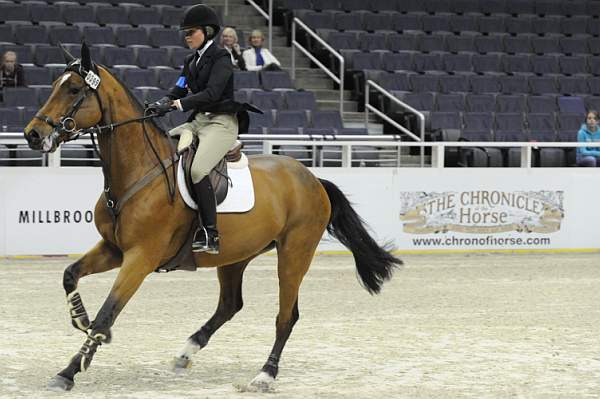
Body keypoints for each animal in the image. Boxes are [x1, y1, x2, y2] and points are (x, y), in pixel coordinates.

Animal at [22, 42, 404, 392]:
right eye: (56, 85)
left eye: (74, 89)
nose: (33, 134)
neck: (137, 172)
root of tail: (311, 178)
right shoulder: (114, 249)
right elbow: (70, 276)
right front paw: (80, 321)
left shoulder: (140, 257)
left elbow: (108, 313)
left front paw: (71, 369)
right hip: (236, 255)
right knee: (230, 305)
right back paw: (186, 352)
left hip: (294, 253)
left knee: (286, 315)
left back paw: (265, 375)